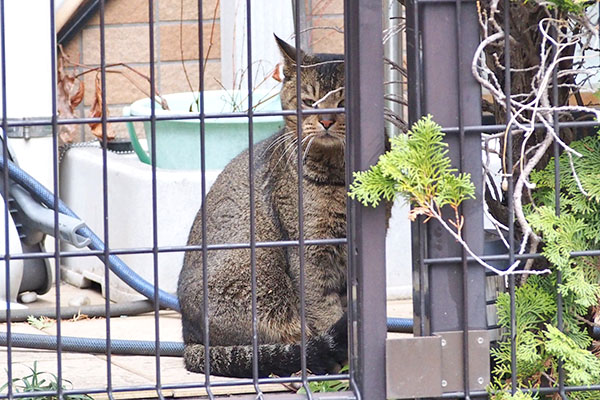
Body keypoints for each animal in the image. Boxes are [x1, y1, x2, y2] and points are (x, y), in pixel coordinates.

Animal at [177, 35, 346, 378]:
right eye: (309, 102)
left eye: (341, 102)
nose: (325, 121)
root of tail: (188, 339)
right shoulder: (312, 253)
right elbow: (326, 311)